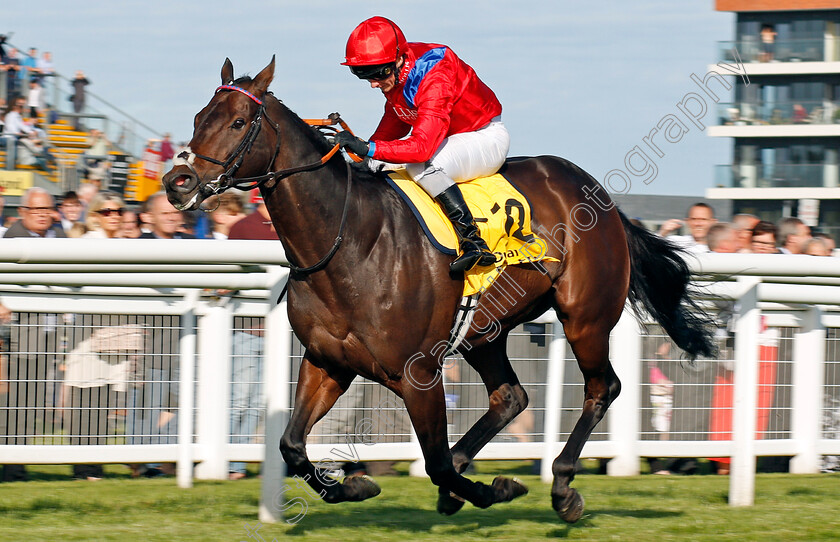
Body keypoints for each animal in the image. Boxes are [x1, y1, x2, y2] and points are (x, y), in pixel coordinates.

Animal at [161, 58, 712, 524]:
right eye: (199, 117)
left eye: (237, 123)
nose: (177, 181)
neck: (347, 241)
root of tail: (605, 199)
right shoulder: (327, 362)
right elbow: (292, 446)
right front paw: (354, 485)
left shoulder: (420, 374)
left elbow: (435, 461)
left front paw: (495, 489)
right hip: (484, 330)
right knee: (510, 397)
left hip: (585, 317)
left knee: (603, 388)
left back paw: (561, 488)